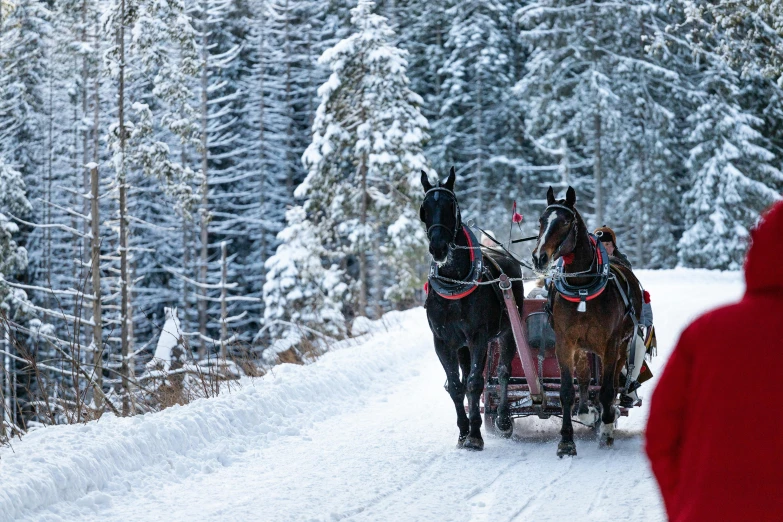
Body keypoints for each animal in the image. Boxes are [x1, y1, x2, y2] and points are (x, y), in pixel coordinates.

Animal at [420, 167, 524, 446]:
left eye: (450, 205)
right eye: (424, 208)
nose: (438, 247)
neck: (454, 284)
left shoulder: (478, 338)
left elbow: (476, 382)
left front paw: (475, 436)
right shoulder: (443, 342)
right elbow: (457, 386)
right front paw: (463, 432)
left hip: (507, 332)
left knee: (502, 372)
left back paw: (503, 419)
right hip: (463, 347)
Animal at [528, 187, 640, 456]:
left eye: (565, 222)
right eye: (541, 220)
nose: (539, 258)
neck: (582, 288)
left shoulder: (610, 345)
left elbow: (608, 390)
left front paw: (607, 430)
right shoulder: (565, 343)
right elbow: (568, 391)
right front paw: (566, 441)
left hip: (620, 346)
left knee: (611, 385)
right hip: (583, 348)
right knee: (586, 379)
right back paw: (586, 410)